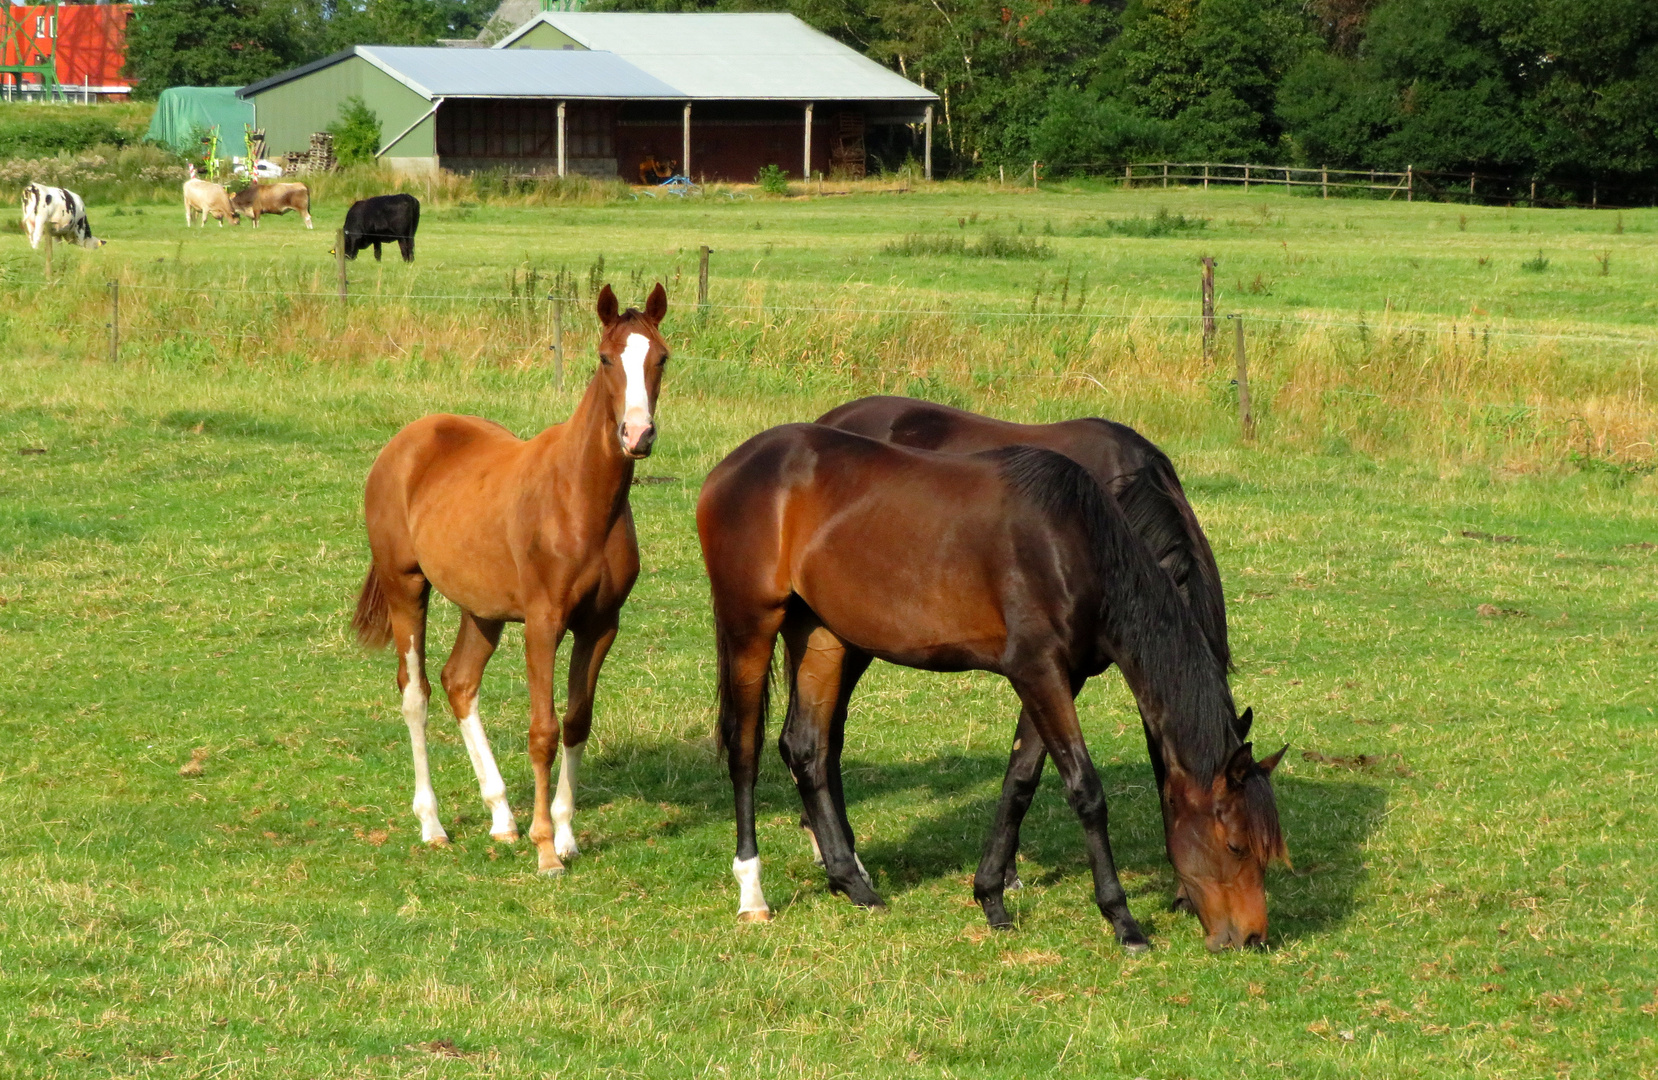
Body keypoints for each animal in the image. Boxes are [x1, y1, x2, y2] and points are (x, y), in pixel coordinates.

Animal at [349, 283, 666, 875]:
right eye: (605, 358)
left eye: (661, 357)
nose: (637, 435)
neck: (580, 499)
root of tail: (405, 442)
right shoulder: (543, 624)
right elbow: (542, 731)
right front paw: (546, 851)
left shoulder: (600, 625)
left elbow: (576, 722)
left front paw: (565, 835)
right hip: (407, 588)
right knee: (416, 692)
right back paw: (433, 825)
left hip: (483, 610)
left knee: (459, 681)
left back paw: (501, 816)